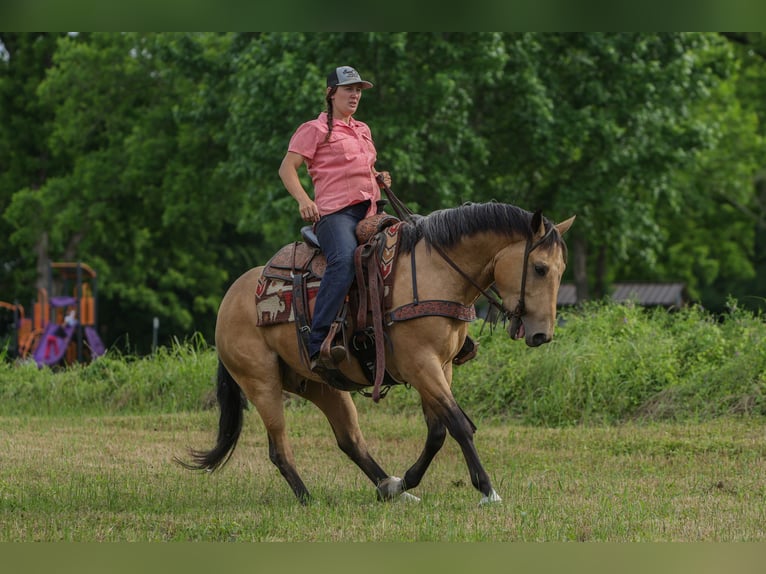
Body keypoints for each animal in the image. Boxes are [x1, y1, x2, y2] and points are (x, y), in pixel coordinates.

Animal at [177, 202, 575, 505]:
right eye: (539, 268)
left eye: (561, 271)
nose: (542, 334)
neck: (436, 274)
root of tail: (230, 299)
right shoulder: (421, 366)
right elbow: (460, 426)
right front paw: (488, 491)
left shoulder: (441, 367)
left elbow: (438, 431)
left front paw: (405, 482)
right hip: (261, 384)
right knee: (279, 448)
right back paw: (307, 499)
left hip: (321, 385)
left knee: (351, 441)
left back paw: (390, 488)